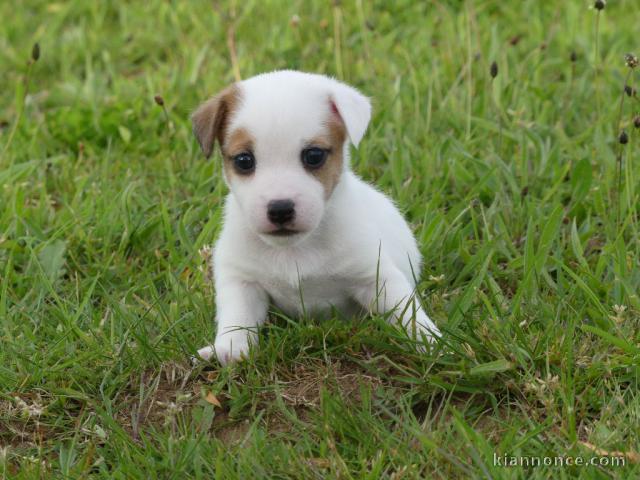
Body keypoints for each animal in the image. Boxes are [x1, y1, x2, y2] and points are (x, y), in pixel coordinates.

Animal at [191, 71, 440, 364]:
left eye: (313, 155)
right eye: (243, 160)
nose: (280, 208)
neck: (295, 249)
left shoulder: (376, 278)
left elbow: (407, 312)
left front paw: (435, 345)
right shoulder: (242, 280)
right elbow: (237, 317)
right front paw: (229, 349)